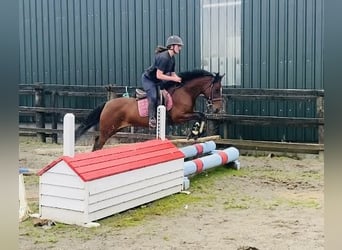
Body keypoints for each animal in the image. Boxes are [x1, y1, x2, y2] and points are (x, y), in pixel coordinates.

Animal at [75, 69, 224, 150]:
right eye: (217, 89)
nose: (217, 109)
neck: (184, 92)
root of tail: (107, 104)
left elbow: (202, 115)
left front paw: (195, 133)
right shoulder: (179, 116)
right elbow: (200, 115)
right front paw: (194, 133)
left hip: (113, 129)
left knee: (98, 141)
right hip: (108, 129)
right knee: (98, 143)